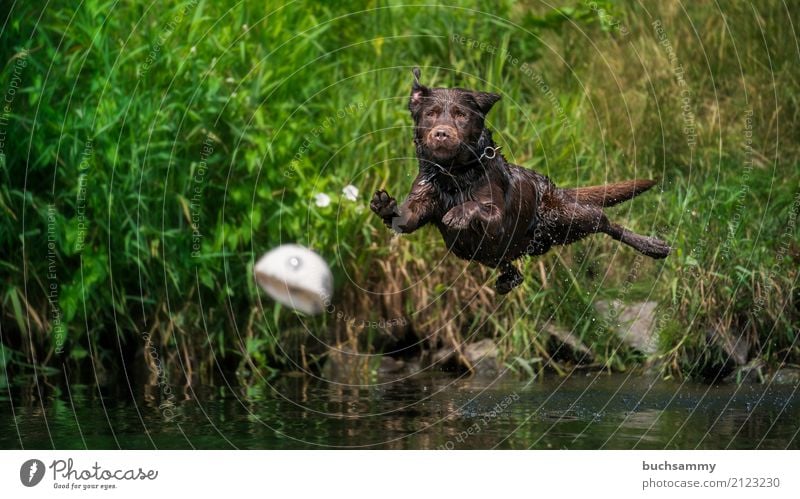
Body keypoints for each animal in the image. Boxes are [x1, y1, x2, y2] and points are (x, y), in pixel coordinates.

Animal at [370, 66, 668, 292]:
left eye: (461, 115)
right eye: (430, 114)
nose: (441, 133)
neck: (454, 175)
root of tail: (556, 189)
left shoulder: (499, 220)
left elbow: (478, 206)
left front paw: (458, 212)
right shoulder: (423, 199)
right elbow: (405, 219)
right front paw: (384, 205)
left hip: (564, 218)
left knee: (604, 221)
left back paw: (652, 245)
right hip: (481, 250)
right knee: (511, 267)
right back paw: (507, 280)